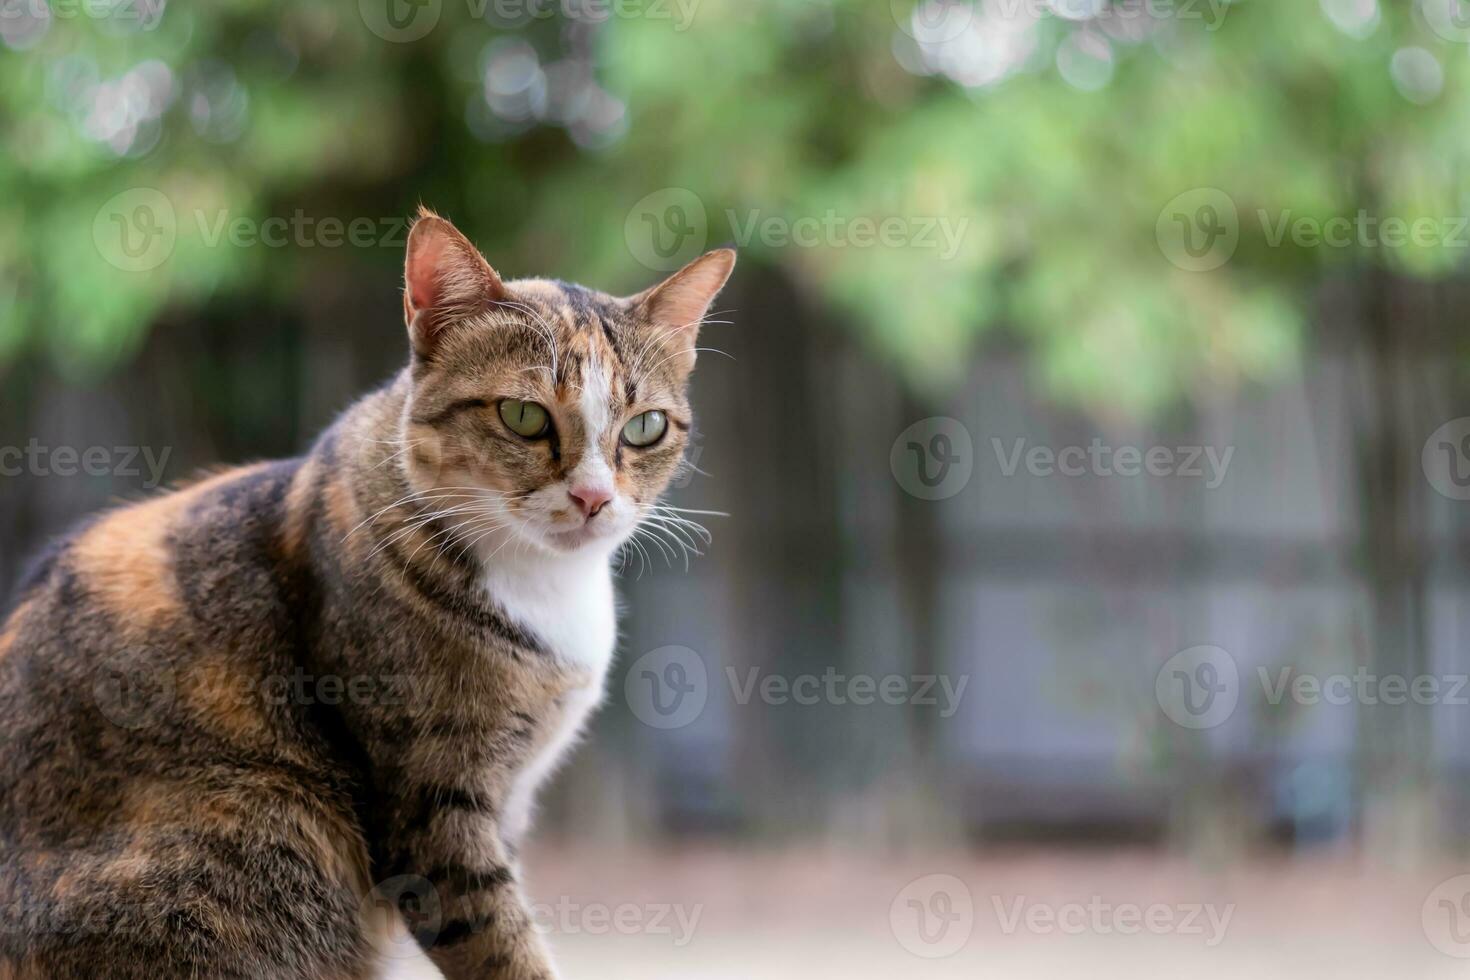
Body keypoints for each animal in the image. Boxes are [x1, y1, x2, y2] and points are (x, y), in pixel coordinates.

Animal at [0, 208, 735, 980]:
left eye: (645, 427)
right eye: (523, 416)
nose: (594, 498)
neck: (543, 584)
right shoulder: (431, 805)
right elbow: (498, 940)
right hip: (256, 831)